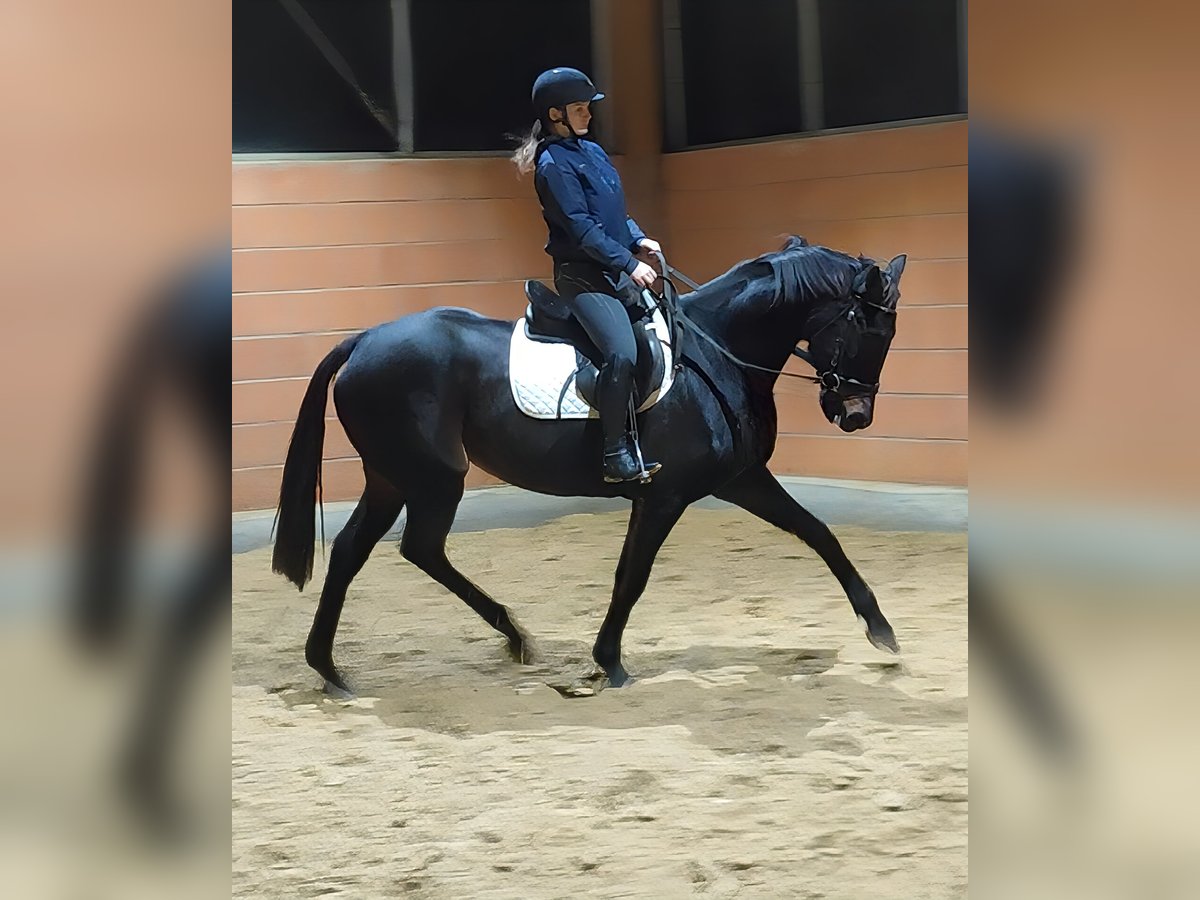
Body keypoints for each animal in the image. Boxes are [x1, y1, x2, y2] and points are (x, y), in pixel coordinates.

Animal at [272, 236, 906, 691]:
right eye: (868, 327)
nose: (855, 415)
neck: (714, 354)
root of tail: (363, 340)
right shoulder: (665, 495)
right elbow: (632, 576)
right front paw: (610, 661)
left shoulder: (741, 479)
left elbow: (818, 533)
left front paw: (881, 630)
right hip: (431, 478)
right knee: (417, 548)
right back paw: (506, 638)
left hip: (391, 478)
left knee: (358, 552)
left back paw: (333, 668)